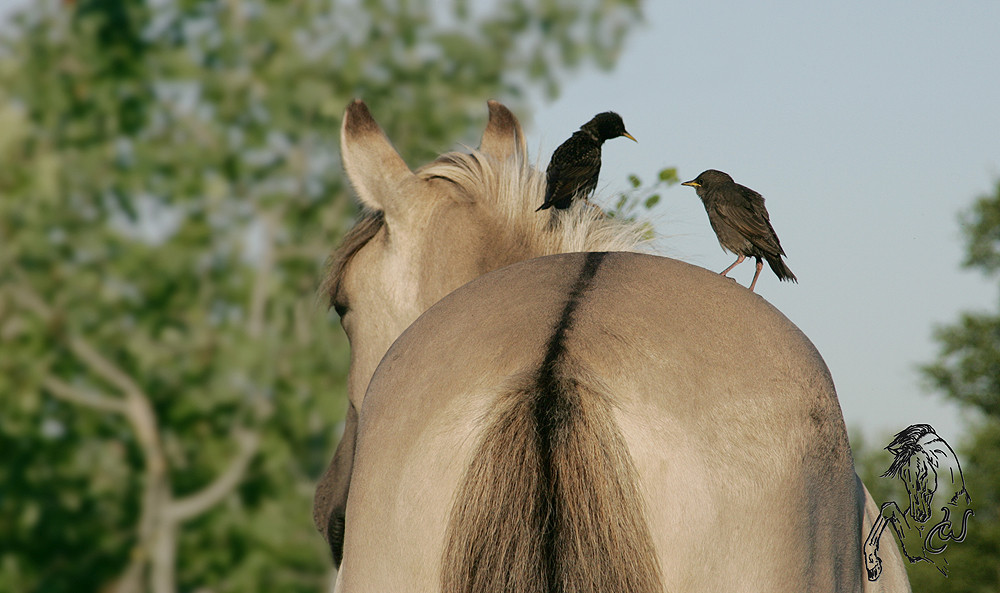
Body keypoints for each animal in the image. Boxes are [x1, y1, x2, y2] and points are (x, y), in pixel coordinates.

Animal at [864, 424, 972, 576]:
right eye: (904, 477)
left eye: (924, 474)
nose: (919, 515)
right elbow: (888, 508)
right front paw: (873, 565)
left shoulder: (920, 549)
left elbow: (889, 508)